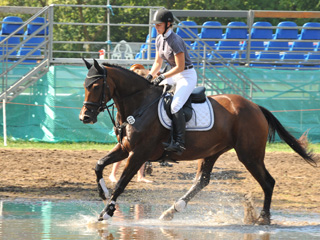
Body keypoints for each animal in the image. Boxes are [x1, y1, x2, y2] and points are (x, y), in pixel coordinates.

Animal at [79, 58, 316, 225]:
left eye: (96, 86)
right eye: (85, 85)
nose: (85, 118)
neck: (140, 105)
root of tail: (255, 106)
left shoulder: (139, 154)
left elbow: (121, 183)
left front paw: (106, 213)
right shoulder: (125, 149)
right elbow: (99, 164)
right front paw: (103, 194)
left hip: (250, 155)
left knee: (268, 182)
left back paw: (263, 219)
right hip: (213, 151)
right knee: (202, 181)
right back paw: (171, 211)